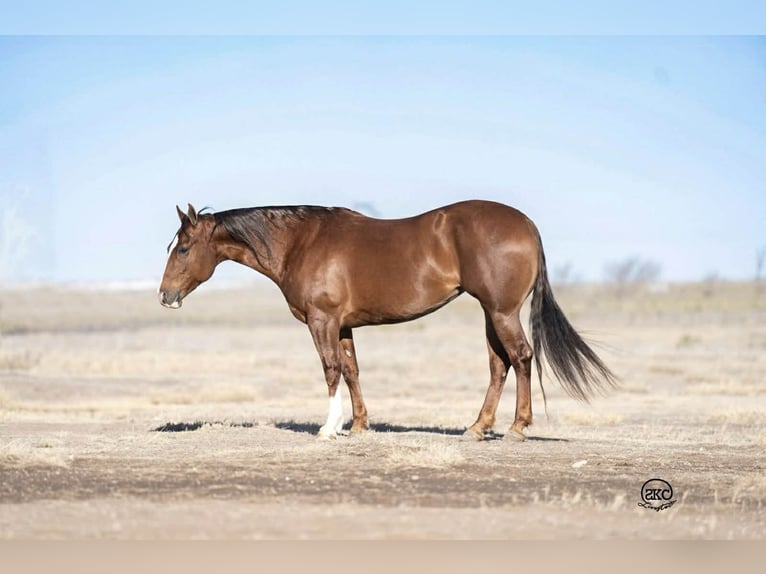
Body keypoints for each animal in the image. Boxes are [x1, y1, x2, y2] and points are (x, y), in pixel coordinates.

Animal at [158, 200, 615, 441]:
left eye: (183, 248)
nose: (165, 295)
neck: (302, 243)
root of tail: (526, 223)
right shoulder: (343, 326)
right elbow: (351, 371)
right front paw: (359, 425)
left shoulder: (322, 321)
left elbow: (330, 370)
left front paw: (329, 428)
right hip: (492, 313)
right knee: (498, 365)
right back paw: (477, 427)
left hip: (502, 311)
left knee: (520, 358)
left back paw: (517, 428)